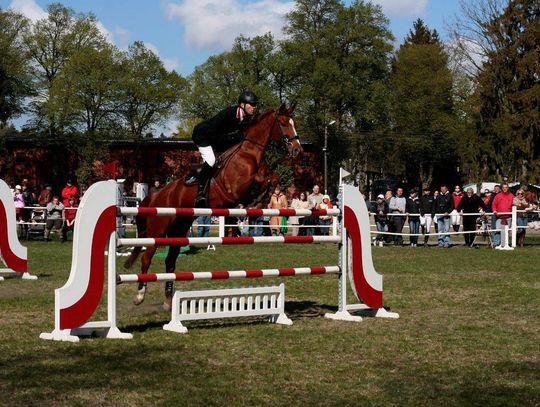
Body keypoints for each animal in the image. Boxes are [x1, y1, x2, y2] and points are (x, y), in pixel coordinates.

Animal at [122, 102, 302, 310]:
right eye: (284, 123)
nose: (298, 150)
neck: (249, 152)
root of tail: (156, 195)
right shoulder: (236, 188)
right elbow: (258, 180)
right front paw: (257, 198)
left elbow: (273, 177)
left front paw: (263, 196)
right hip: (157, 231)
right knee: (146, 258)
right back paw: (139, 296)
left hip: (178, 231)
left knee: (170, 261)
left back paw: (168, 300)